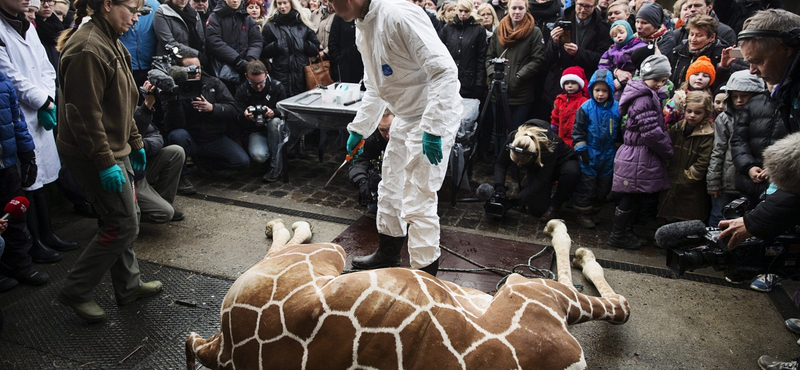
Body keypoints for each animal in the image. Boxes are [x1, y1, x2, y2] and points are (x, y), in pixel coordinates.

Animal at [189, 218, 632, 368]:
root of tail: (220, 349)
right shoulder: (533, 294)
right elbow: (619, 304)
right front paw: (571, 240)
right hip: (328, 254)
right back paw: (283, 222)